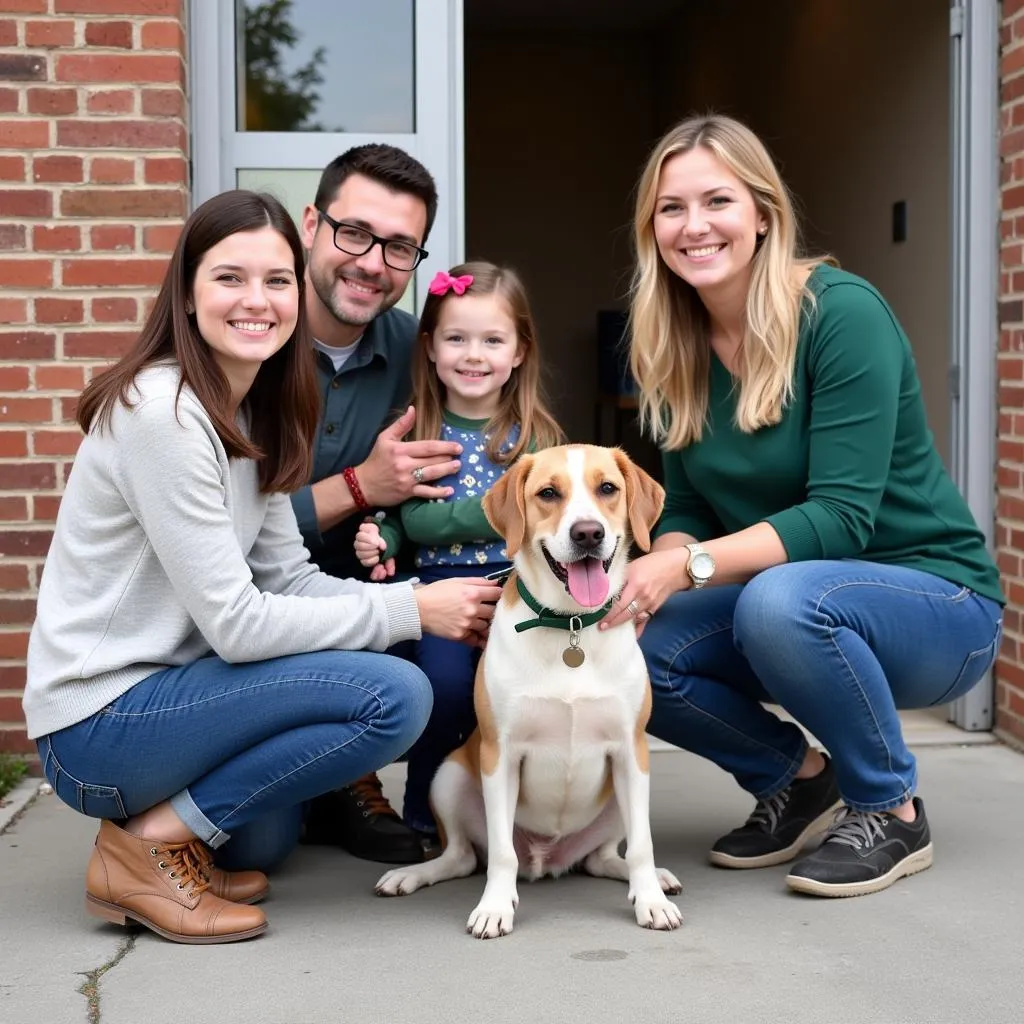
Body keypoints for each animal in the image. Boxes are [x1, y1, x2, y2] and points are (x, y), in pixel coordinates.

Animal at [374, 444, 679, 937]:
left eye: (607, 488)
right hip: (450, 776)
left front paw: (650, 899)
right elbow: (501, 854)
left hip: (619, 796)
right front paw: (495, 907)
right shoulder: (501, 754)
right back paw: (413, 874)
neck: (571, 624)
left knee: (603, 858)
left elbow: (642, 847)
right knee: (463, 858)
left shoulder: (632, 752)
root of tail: (547, 857)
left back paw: (652, 878)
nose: (588, 533)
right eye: (548, 493)